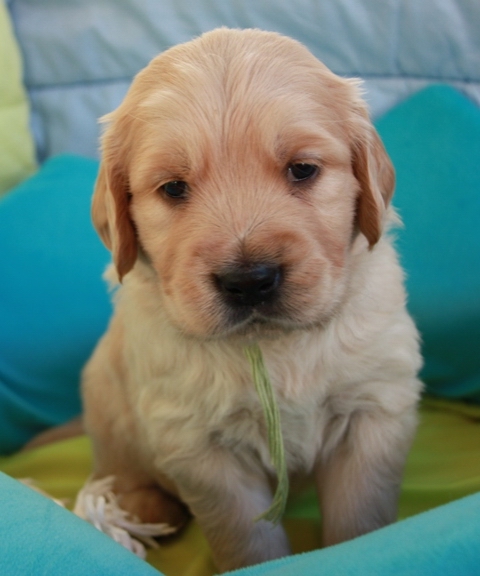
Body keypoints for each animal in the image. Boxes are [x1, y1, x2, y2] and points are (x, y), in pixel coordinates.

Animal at [75, 28, 422, 572]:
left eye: (302, 170)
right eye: (173, 188)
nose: (249, 280)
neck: (274, 345)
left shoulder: (373, 408)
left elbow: (359, 516)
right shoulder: (202, 447)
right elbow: (245, 537)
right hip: (105, 396)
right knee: (119, 468)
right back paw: (145, 506)